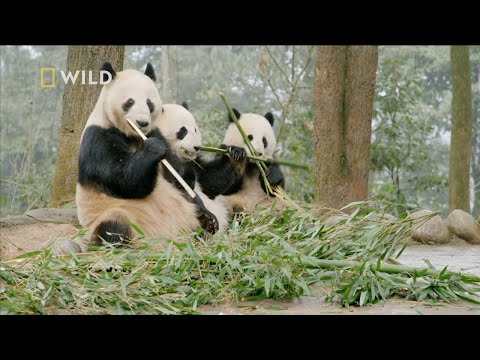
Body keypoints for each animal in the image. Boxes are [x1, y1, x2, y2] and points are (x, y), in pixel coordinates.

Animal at [76, 62, 218, 248]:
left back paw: (204, 225)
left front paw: (210, 216)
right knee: (113, 226)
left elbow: (177, 179)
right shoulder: (98, 137)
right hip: (119, 217)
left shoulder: (156, 133)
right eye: (130, 102)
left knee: (195, 220)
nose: (142, 123)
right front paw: (154, 149)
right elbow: (123, 179)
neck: (133, 135)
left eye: (149, 103)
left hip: (187, 216)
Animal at [158, 100, 249, 231]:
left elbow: (209, 183)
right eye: (183, 131)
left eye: (195, 129)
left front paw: (236, 154)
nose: (196, 147)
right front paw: (207, 217)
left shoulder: (195, 164)